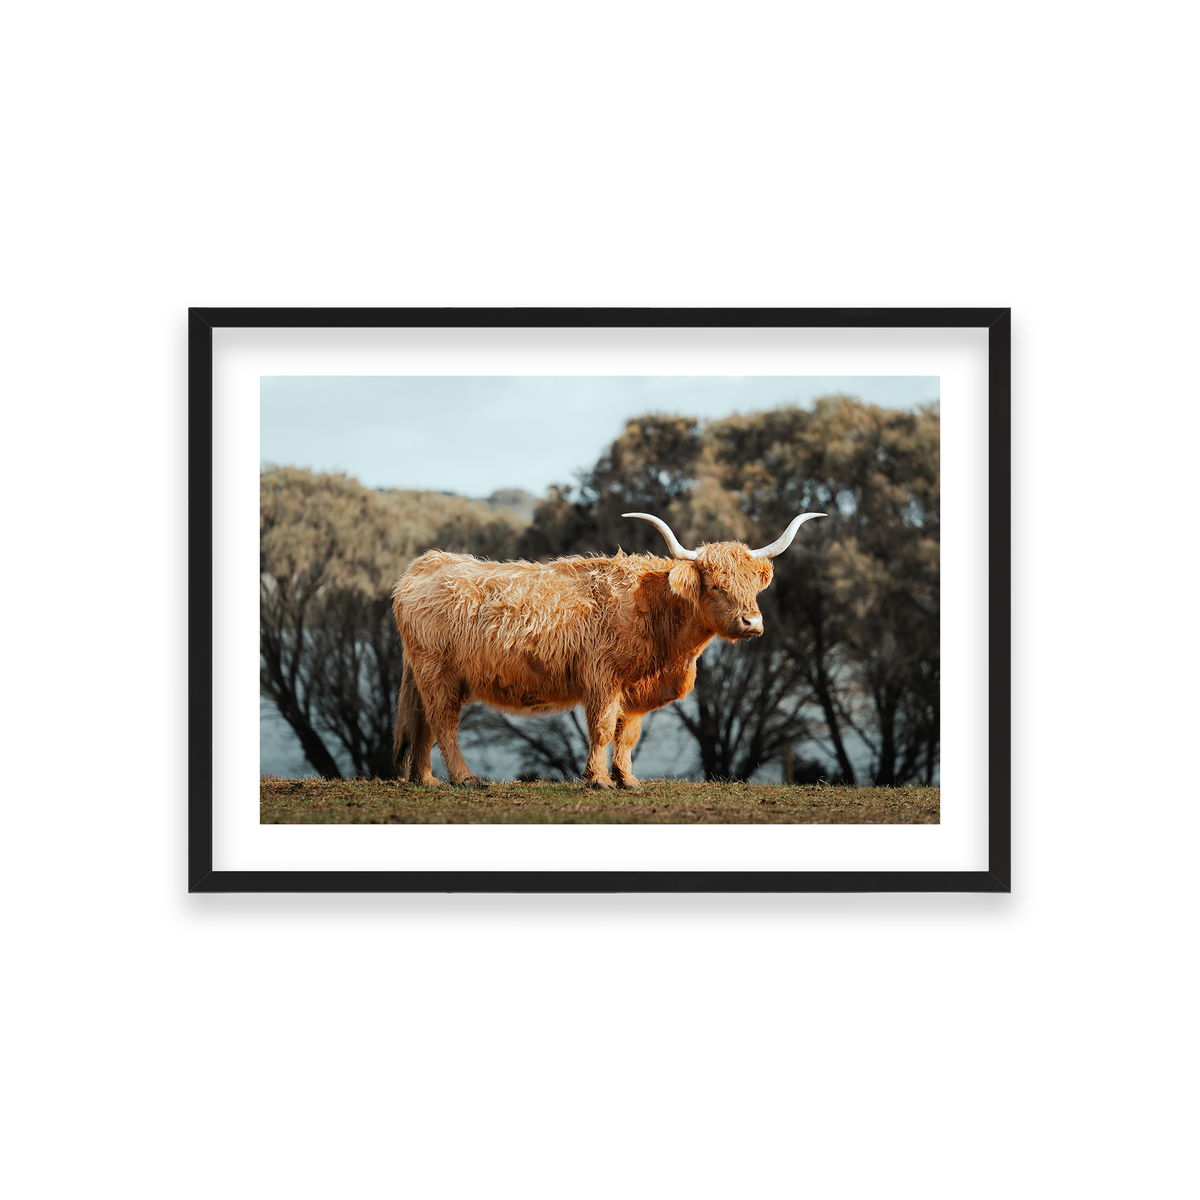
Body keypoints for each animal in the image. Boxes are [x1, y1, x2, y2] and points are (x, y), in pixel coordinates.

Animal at [391, 510, 826, 790]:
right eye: (716, 586)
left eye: (753, 586)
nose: (752, 623)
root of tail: (426, 563)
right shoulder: (603, 678)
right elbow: (601, 729)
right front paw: (598, 780)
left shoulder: (634, 688)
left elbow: (628, 734)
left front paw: (628, 780)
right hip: (438, 672)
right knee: (443, 723)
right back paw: (464, 779)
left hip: (429, 675)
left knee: (424, 724)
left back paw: (426, 779)